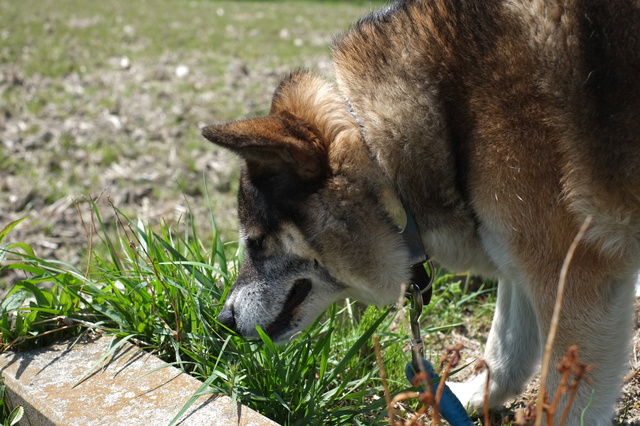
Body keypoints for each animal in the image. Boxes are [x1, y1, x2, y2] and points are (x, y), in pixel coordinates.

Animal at [202, 0, 640, 422]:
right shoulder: (520, 258)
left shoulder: (573, 281)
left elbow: (566, 403)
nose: (223, 321)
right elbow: (506, 345)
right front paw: (471, 398)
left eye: (256, 243)